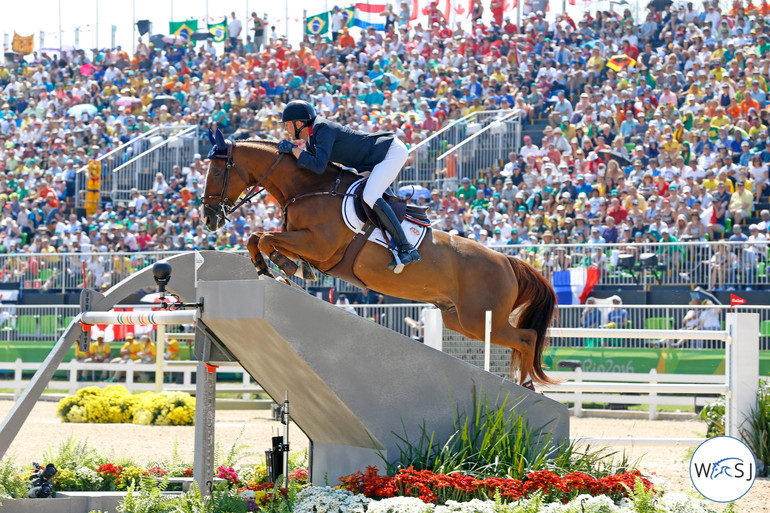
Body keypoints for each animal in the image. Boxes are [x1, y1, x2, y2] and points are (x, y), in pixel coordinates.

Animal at [201, 129, 556, 388]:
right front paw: (273, 267)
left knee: (526, 338)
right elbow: (258, 238)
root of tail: (508, 262)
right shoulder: (306, 244)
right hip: (460, 320)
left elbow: (265, 237)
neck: (309, 187)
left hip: (480, 318)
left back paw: (527, 386)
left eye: (217, 170)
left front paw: (282, 266)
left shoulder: (319, 246)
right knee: (518, 338)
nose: (209, 218)